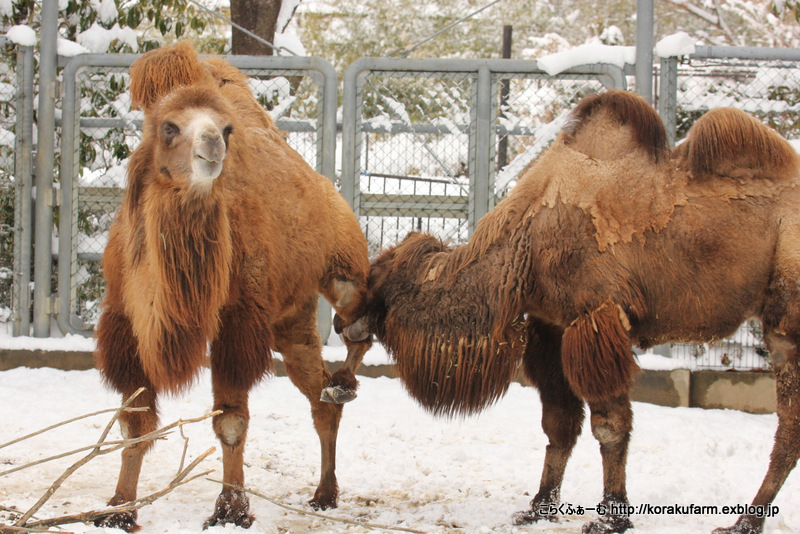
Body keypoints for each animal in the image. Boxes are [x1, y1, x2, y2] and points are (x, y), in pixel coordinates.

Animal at [93, 43, 372, 532]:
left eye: (226, 127)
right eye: (169, 127)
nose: (213, 144)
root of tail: (321, 183)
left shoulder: (237, 321)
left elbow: (230, 423)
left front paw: (231, 509)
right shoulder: (126, 324)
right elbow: (133, 425)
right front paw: (119, 508)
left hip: (341, 262)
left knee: (357, 325)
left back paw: (343, 386)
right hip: (289, 317)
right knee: (316, 387)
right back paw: (325, 489)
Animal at [346, 92, 800, 534]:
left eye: (375, 286)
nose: (343, 324)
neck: (527, 242)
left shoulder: (596, 320)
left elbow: (609, 426)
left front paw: (610, 517)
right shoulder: (551, 328)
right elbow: (559, 423)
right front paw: (538, 508)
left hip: (787, 321)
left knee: (789, 423)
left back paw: (744, 522)